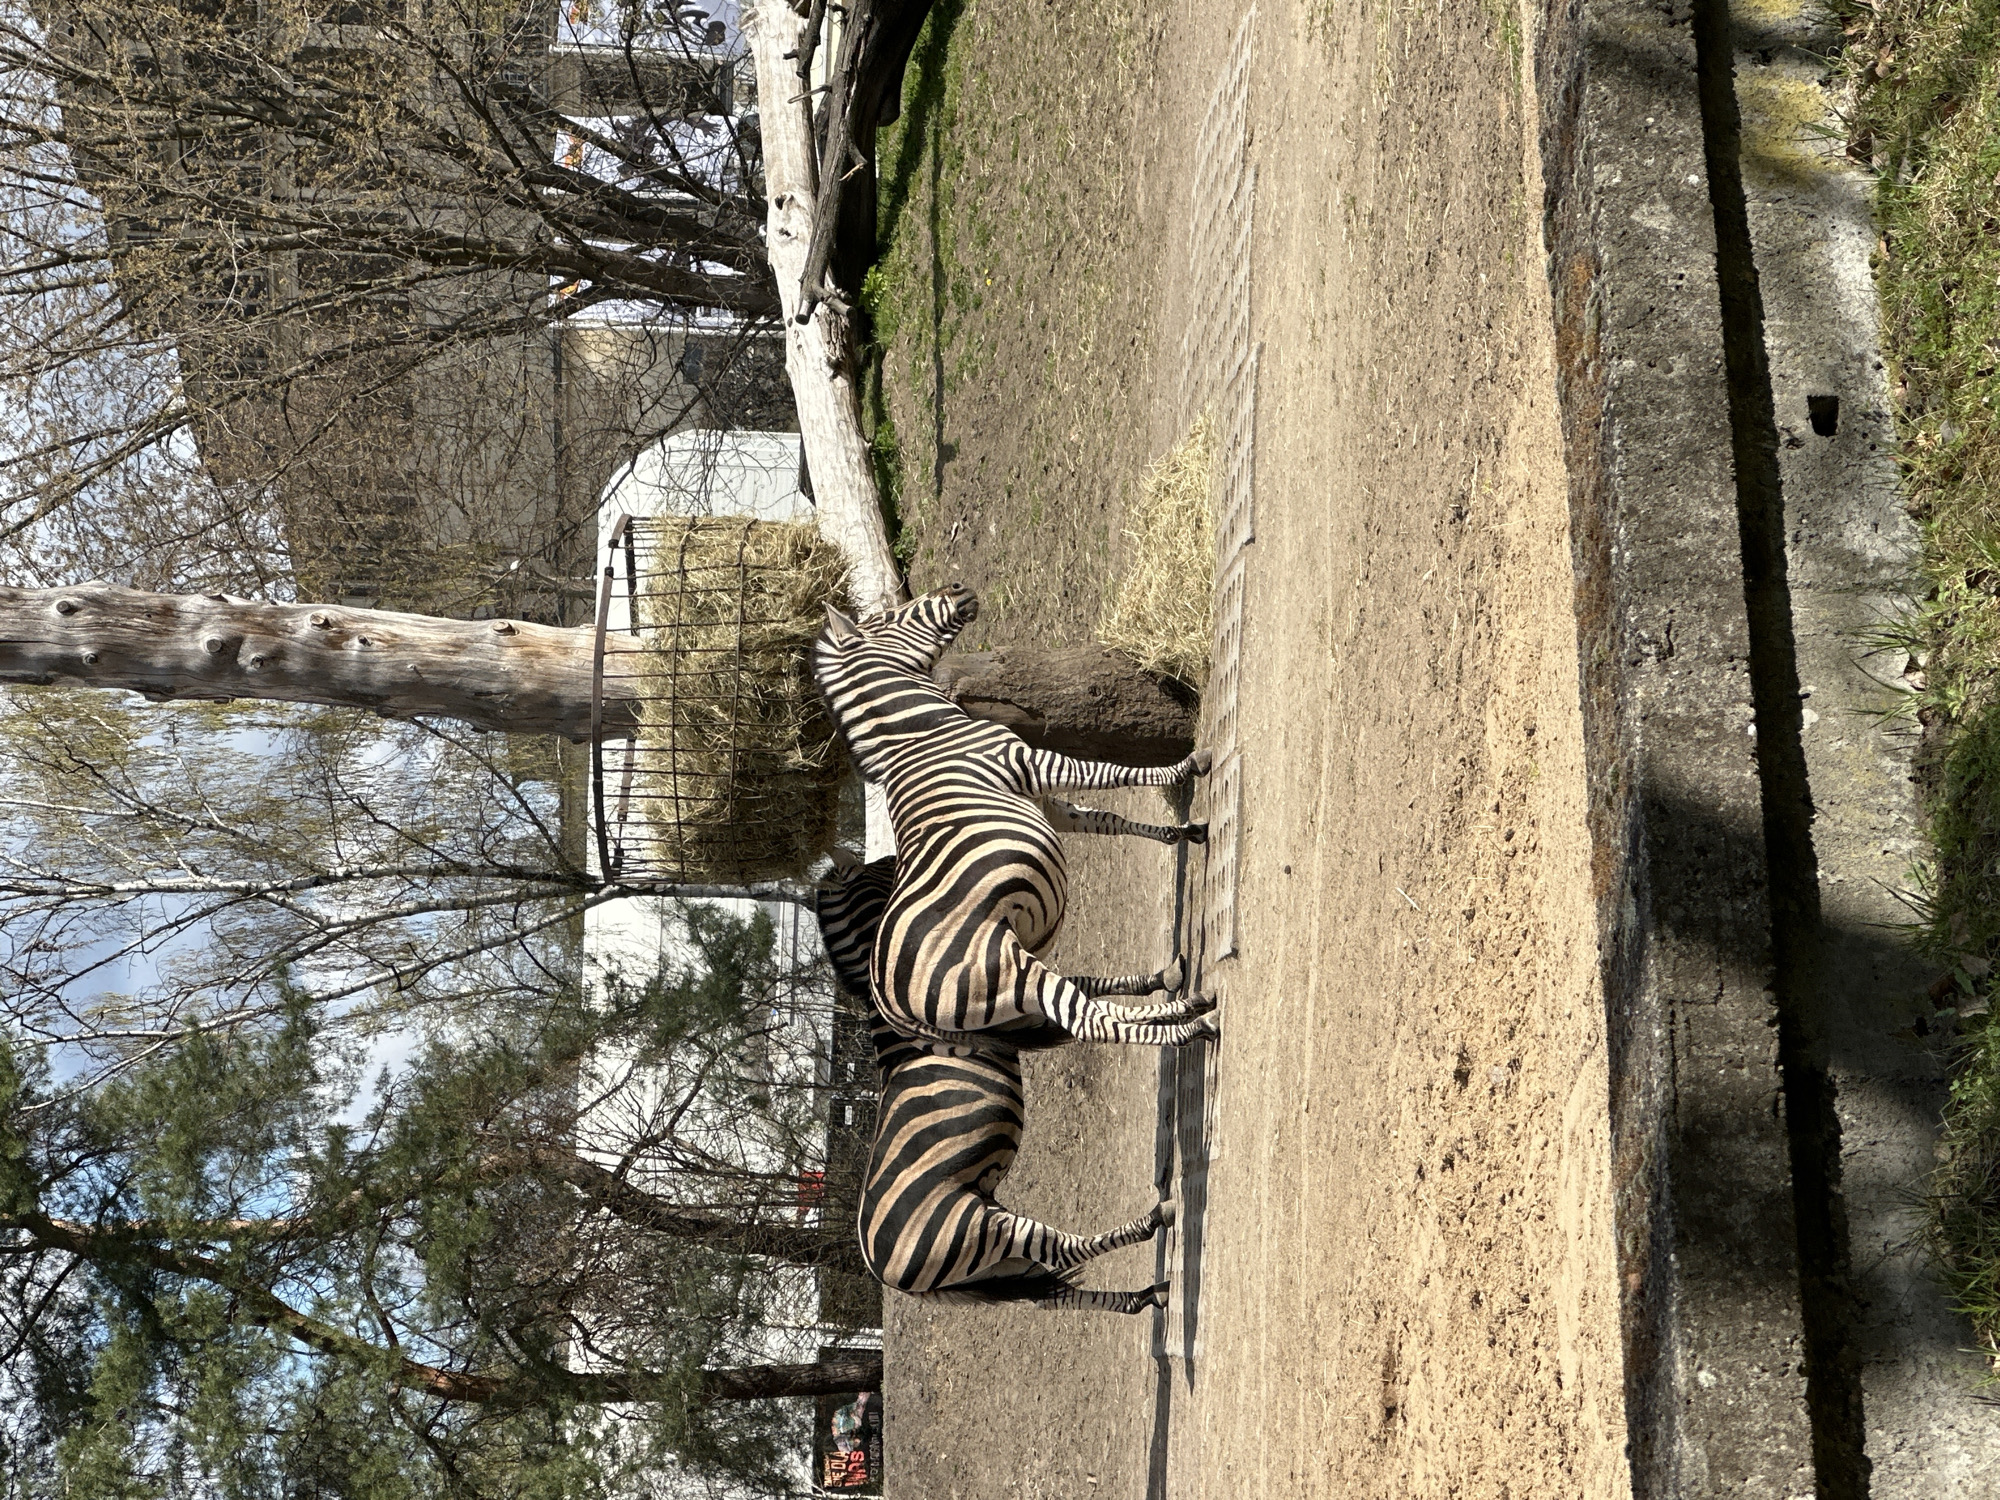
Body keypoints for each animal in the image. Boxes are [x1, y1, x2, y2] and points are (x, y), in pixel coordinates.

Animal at [810, 583, 1219, 1052]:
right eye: (887, 618)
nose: (958, 587)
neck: (921, 732)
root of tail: (889, 1008)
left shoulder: (1041, 799)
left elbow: (1106, 819)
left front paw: (1182, 831)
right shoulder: (1028, 761)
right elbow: (1110, 773)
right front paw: (1189, 766)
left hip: (1001, 1009)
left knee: (1085, 1009)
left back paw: (1182, 998)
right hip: (1008, 970)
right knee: (1086, 1019)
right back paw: (1194, 1024)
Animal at [815, 851, 1179, 1313]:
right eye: (878, 869)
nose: (896, 858)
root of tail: (884, 1274)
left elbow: (1096, 987)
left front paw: (1164, 983)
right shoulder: (1028, 1019)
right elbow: (1099, 1009)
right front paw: (1178, 1010)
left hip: (992, 1266)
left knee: (1053, 1293)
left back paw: (1148, 1296)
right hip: (979, 1229)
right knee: (1062, 1249)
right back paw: (1155, 1220)